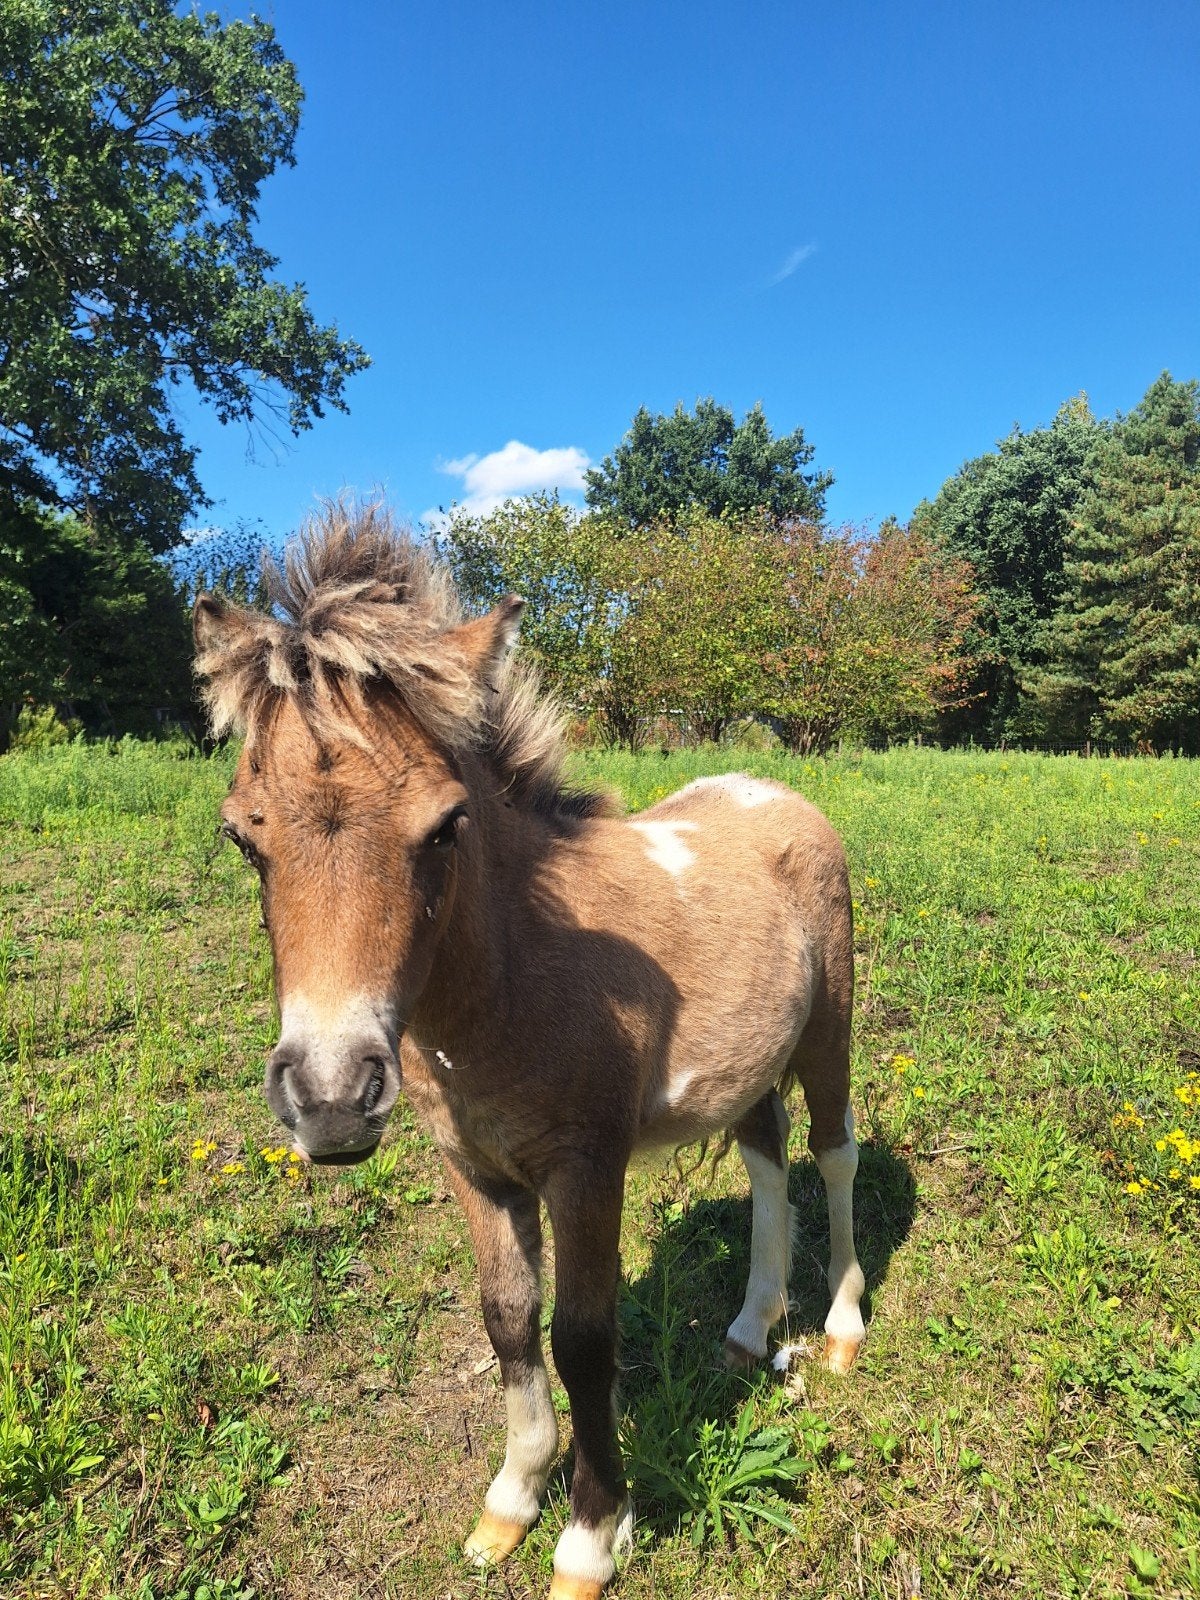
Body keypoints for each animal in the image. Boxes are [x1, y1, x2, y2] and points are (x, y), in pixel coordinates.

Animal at [193, 503, 866, 1600]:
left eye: (445, 827)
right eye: (244, 838)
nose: (330, 1098)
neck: (504, 984)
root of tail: (772, 792)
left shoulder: (584, 1166)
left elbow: (582, 1338)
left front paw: (591, 1535)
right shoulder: (477, 1167)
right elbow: (508, 1317)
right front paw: (508, 1503)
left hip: (828, 1026)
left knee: (834, 1151)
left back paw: (842, 1330)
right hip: (749, 1066)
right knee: (768, 1160)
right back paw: (746, 1330)